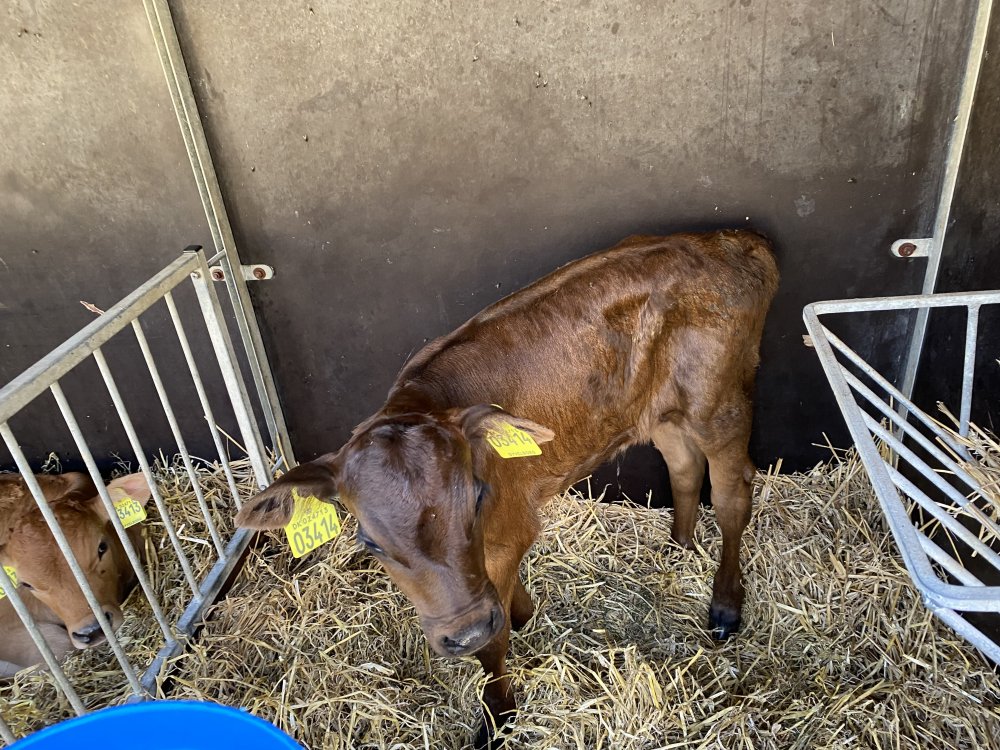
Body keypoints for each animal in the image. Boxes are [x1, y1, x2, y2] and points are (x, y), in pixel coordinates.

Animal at [234, 229, 779, 748]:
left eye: (477, 498)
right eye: (369, 541)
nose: (465, 631)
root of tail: (734, 241)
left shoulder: (505, 536)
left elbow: (493, 648)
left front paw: (498, 719)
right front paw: (523, 614)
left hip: (722, 403)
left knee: (733, 495)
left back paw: (725, 606)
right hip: (660, 410)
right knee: (683, 466)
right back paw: (678, 547)